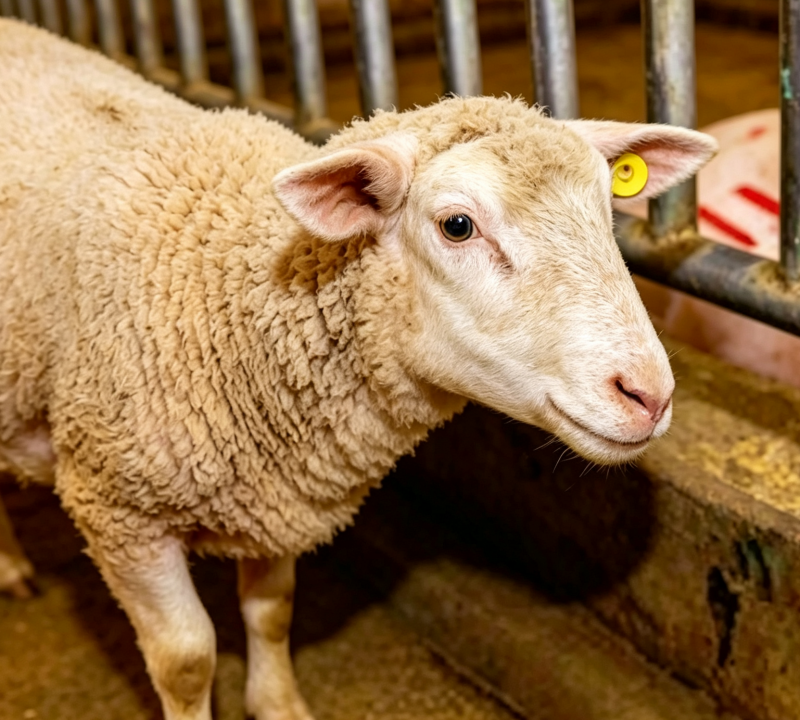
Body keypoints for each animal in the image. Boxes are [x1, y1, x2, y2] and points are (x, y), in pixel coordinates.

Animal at [0, 18, 717, 720]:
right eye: (458, 225)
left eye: (609, 208)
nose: (649, 395)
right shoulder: (117, 509)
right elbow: (187, 660)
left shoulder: (277, 498)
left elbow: (271, 613)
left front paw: (280, 705)